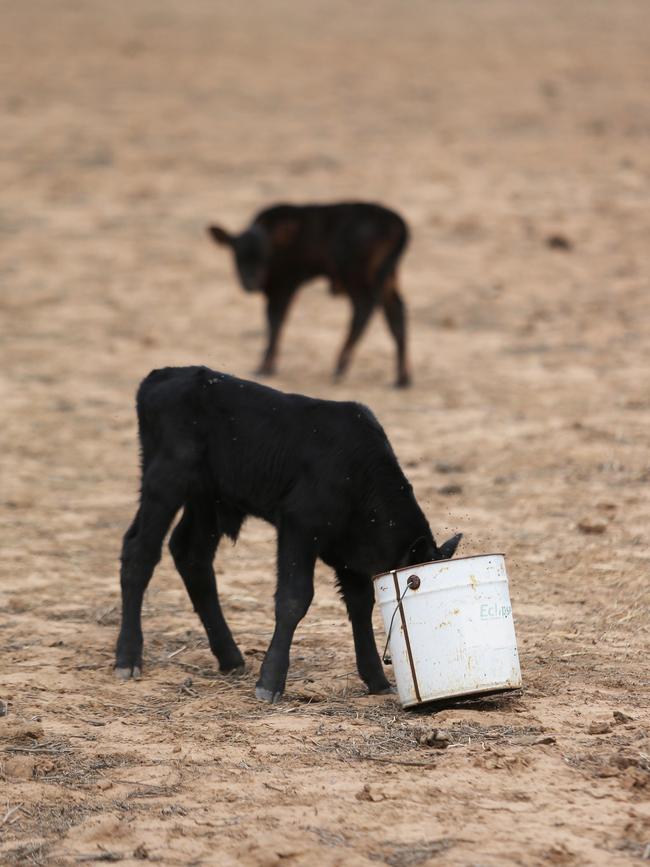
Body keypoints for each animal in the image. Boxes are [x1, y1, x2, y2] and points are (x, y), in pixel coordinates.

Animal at [116, 364, 460, 700]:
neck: (356, 473)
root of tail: (163, 375)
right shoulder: (299, 527)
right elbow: (294, 598)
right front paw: (270, 681)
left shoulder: (350, 555)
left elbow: (360, 605)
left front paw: (376, 679)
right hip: (165, 480)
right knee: (140, 552)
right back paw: (128, 657)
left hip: (207, 499)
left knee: (191, 556)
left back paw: (230, 657)